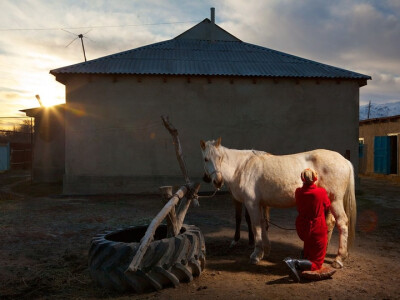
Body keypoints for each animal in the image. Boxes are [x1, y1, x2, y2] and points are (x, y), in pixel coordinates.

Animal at [200, 137, 356, 268]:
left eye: (220, 158)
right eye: (206, 159)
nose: (217, 181)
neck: (242, 167)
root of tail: (344, 160)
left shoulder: (251, 203)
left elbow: (256, 226)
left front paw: (256, 254)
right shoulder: (260, 204)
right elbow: (262, 224)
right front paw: (266, 250)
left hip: (335, 200)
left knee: (342, 222)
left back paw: (339, 259)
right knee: (330, 223)